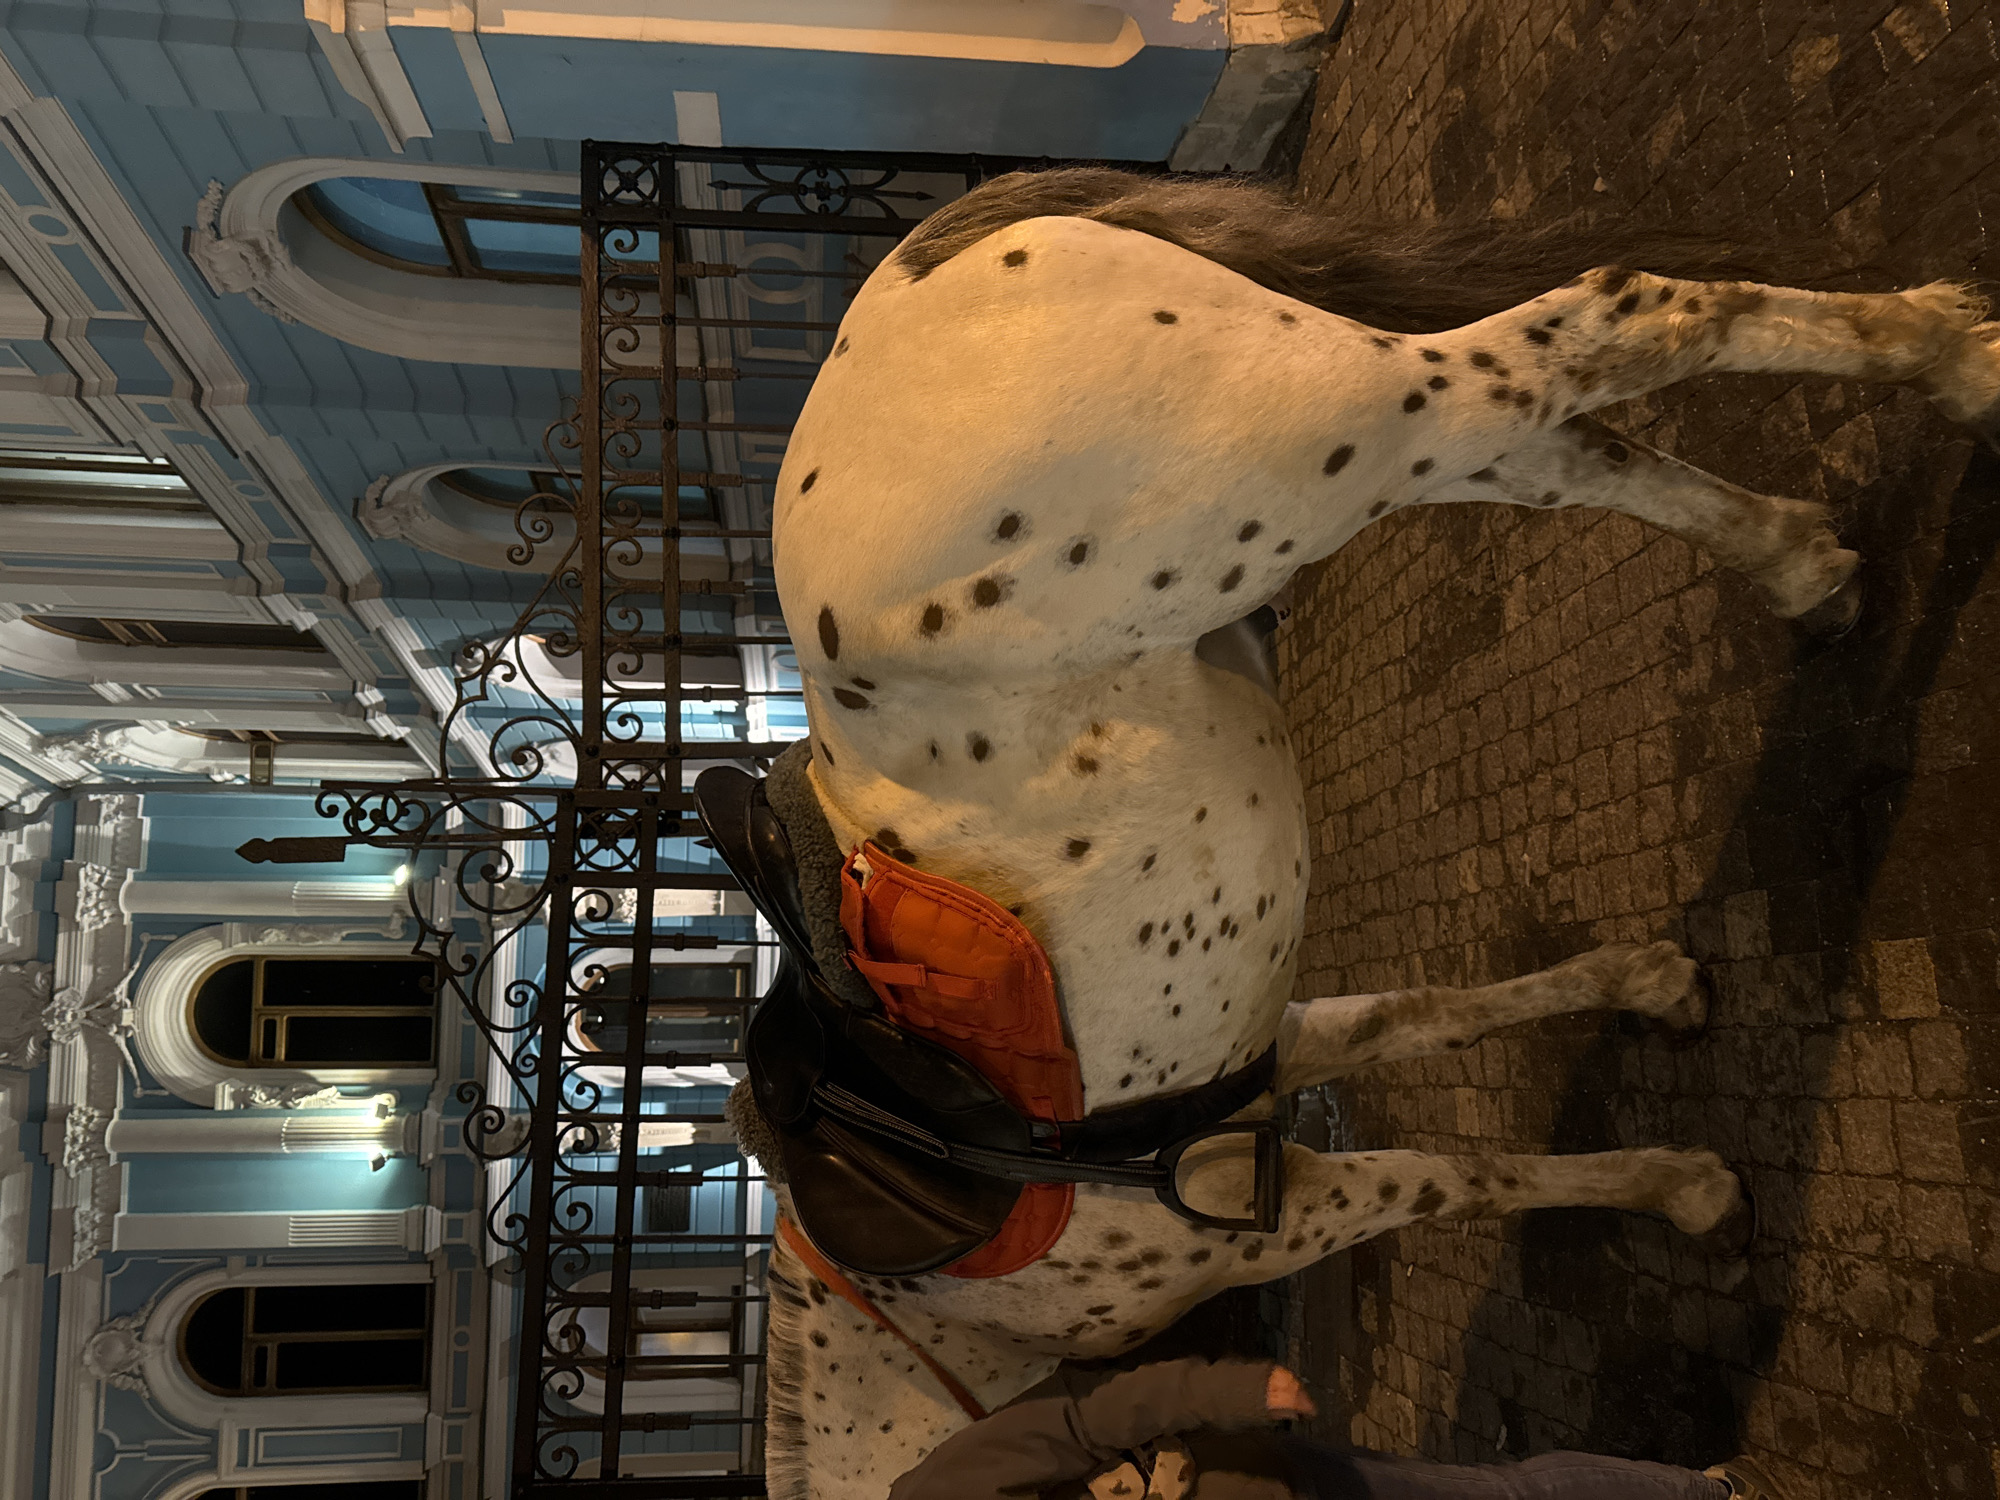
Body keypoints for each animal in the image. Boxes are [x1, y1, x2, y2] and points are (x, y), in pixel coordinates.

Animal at [748, 168, 2000, 1499]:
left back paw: (1955, 360)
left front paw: (1685, 1190)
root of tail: (907, 281)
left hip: (1363, 422)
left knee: (1618, 322)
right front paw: (1647, 987)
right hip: (1371, 452)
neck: (938, 1316)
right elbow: (1427, 1015)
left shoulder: (1273, 1221)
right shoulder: (1278, 1055)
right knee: (1572, 451)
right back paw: (1809, 562)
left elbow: (1458, 1179)